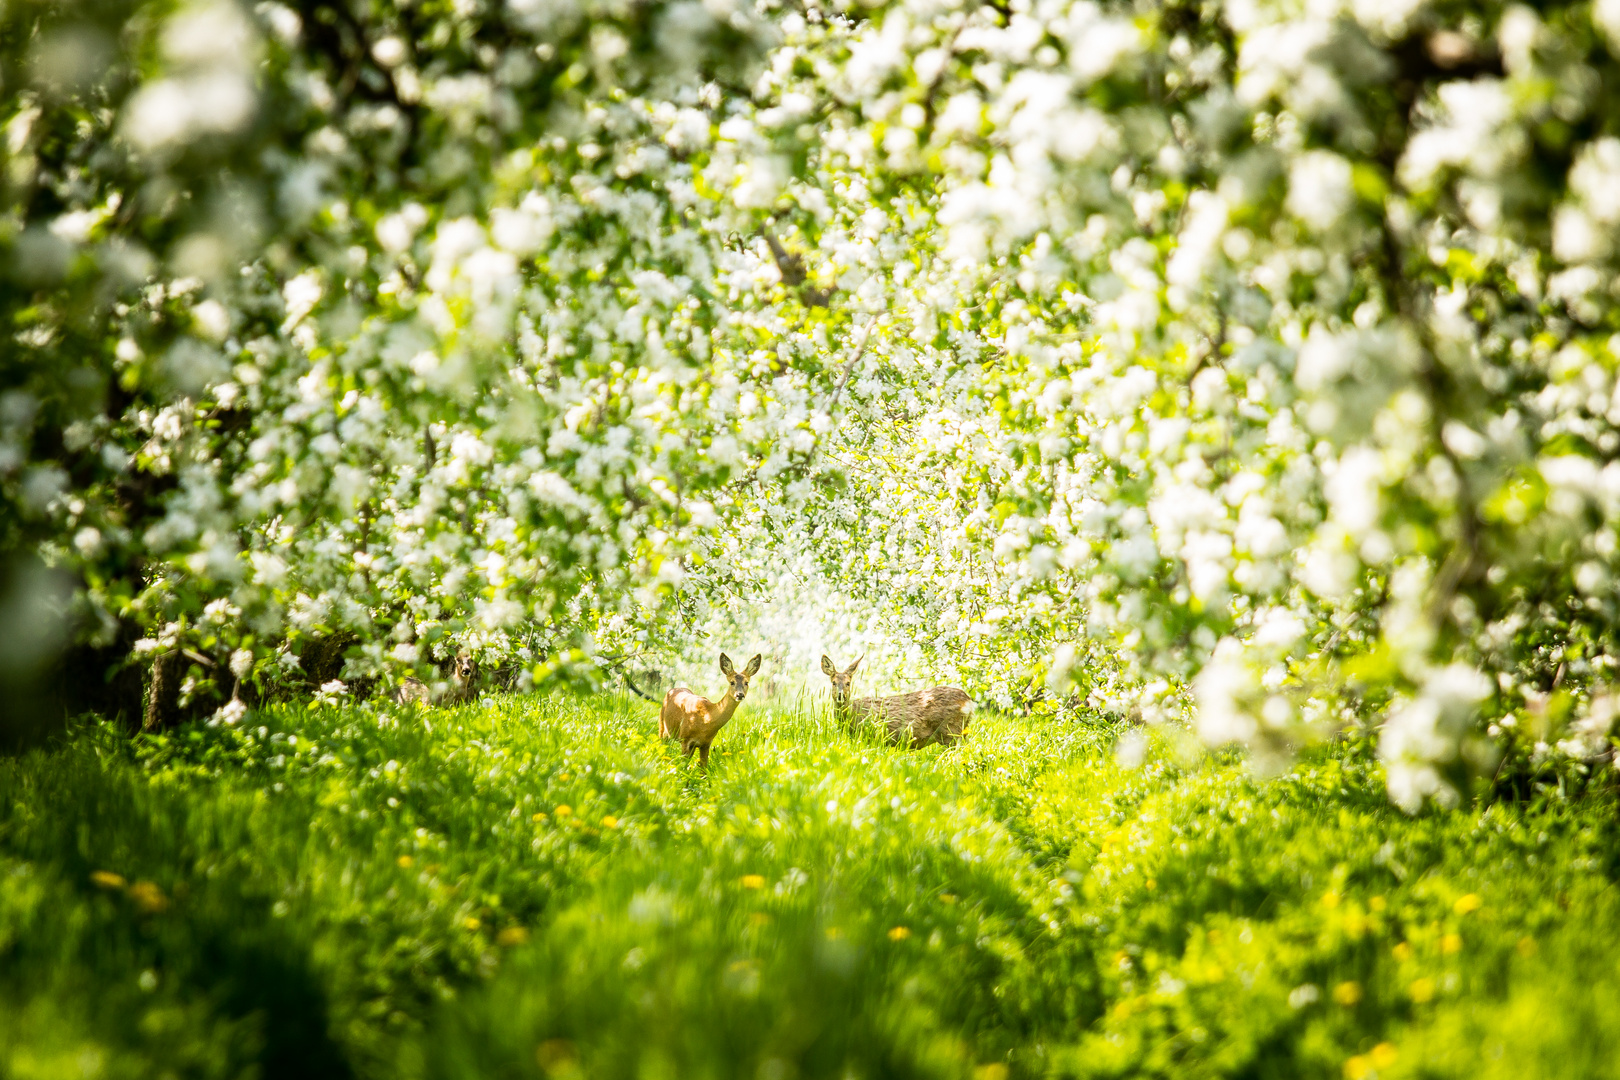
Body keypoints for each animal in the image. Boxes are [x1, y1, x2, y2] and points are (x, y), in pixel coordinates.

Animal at [822, 654, 972, 748]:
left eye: (848, 683)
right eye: (834, 683)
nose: (841, 695)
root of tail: (968, 702)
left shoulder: (869, 735)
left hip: (950, 731)